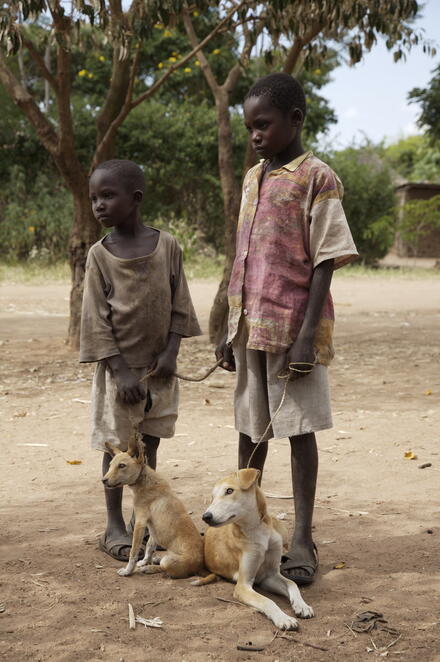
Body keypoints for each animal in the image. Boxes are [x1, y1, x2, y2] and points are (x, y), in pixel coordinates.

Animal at [103, 438, 205, 580]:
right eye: (110, 465)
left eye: (122, 466)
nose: (103, 480)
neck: (143, 479)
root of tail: (200, 566)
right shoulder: (151, 526)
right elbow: (150, 546)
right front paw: (145, 561)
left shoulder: (140, 523)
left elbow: (133, 552)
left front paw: (128, 571)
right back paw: (153, 562)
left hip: (168, 561)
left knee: (165, 569)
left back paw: (150, 568)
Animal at [192, 470, 312, 632]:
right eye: (212, 497)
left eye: (229, 490)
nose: (206, 517)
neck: (257, 529)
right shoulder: (243, 585)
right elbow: (267, 601)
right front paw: (283, 618)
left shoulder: (270, 576)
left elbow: (292, 584)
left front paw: (302, 606)